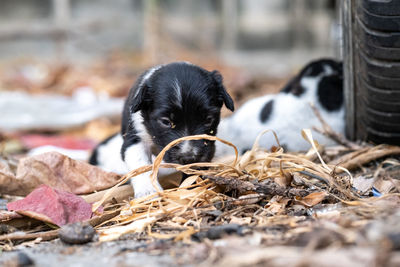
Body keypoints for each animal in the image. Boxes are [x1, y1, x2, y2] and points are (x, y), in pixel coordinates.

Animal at [90, 61, 234, 198]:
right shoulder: (135, 138)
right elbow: (140, 165)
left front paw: (192, 186)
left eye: (208, 119)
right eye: (166, 122)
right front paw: (148, 191)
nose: (189, 157)